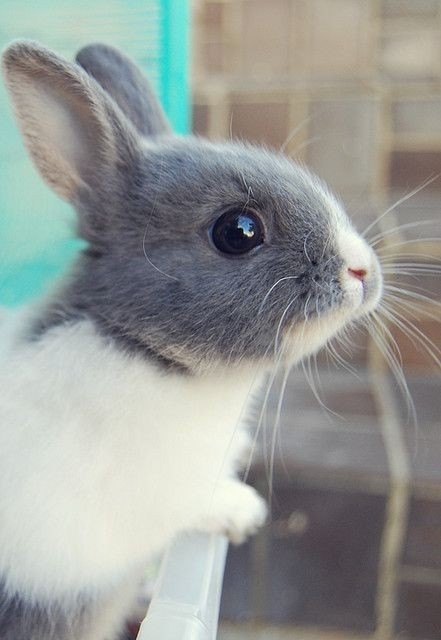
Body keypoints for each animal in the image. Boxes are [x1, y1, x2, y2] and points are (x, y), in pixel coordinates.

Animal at [0, 40, 382, 640]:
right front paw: (246, 510)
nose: (363, 270)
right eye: (238, 231)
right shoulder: (153, 504)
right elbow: (194, 506)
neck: (145, 351)